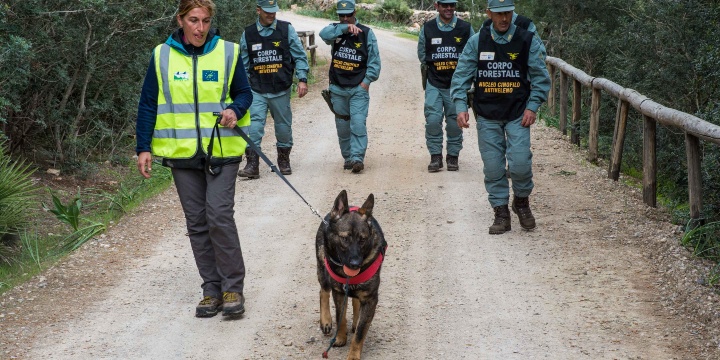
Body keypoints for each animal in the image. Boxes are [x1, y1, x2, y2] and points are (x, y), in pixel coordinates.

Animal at [316, 190, 388, 358]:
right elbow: (340, 317)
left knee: (355, 302)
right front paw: (340, 337)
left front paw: (354, 354)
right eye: (344, 238)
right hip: (322, 266)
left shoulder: (370, 300)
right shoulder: (338, 293)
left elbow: (360, 332)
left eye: (362, 240)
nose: (355, 264)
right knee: (323, 291)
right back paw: (326, 320)